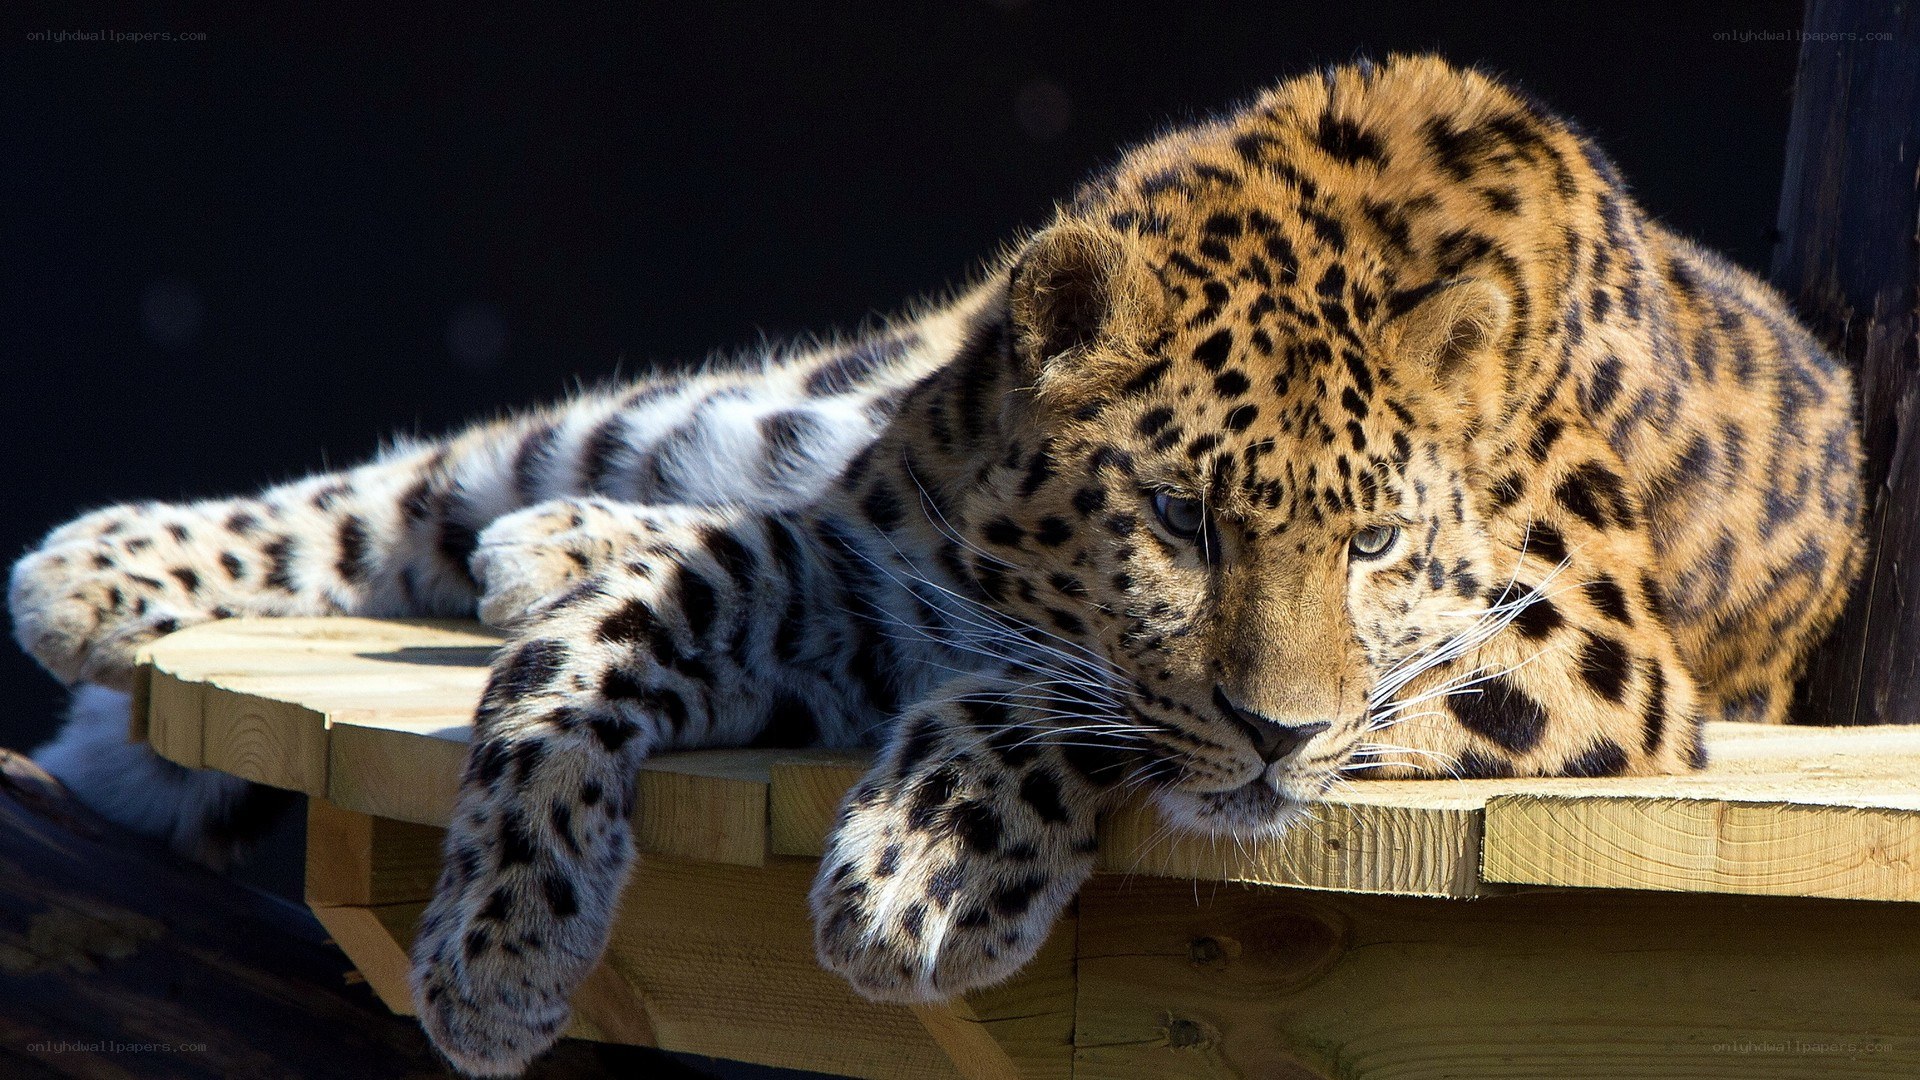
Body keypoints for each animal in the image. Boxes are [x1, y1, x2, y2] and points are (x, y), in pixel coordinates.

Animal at [9, 55, 1862, 1076]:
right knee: (466, 471)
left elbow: (1066, 701)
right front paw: (501, 937)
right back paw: (102, 576)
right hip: (745, 414)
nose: (1277, 741)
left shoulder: (1583, 657)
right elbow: (608, 645)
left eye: (1377, 543)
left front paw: (924, 869)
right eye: (1179, 521)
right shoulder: (872, 574)